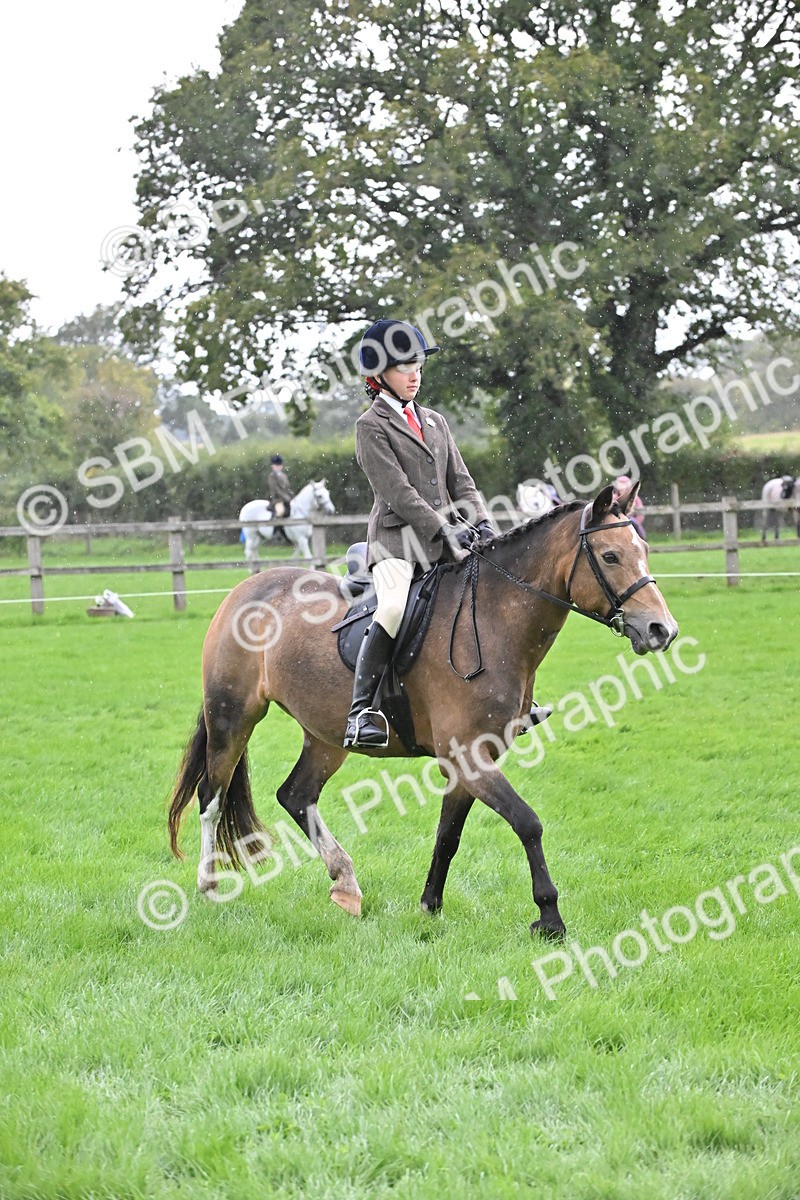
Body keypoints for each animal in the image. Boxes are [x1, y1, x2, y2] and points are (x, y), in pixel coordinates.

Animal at [169, 482, 678, 939]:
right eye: (610, 556)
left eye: (643, 549)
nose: (662, 630)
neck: (493, 617)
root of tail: (244, 589)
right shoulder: (468, 756)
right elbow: (527, 822)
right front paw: (549, 919)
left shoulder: (470, 762)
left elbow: (448, 835)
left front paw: (429, 906)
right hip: (233, 716)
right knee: (211, 798)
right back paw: (208, 885)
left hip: (327, 736)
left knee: (296, 794)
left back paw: (345, 882)